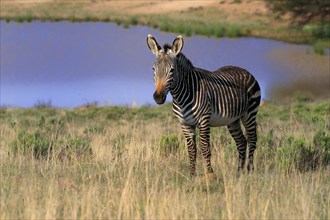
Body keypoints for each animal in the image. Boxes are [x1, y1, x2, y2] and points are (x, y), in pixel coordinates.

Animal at [147, 34, 260, 176]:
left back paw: (250, 172)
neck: (180, 97)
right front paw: (192, 175)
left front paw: (210, 175)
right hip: (233, 120)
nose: (158, 97)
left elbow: (205, 148)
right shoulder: (185, 124)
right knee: (241, 142)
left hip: (250, 114)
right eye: (153, 69)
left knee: (252, 139)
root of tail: (245, 70)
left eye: (172, 70)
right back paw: (239, 173)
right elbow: (191, 151)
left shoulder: (204, 120)